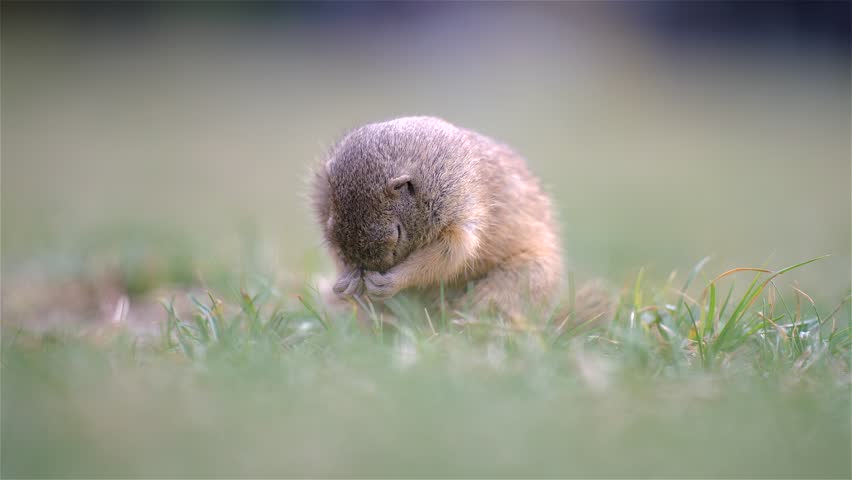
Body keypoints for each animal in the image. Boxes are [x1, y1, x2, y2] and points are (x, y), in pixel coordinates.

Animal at [311, 116, 609, 325]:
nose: (367, 272)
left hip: (524, 278)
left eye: (397, 233)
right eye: (331, 227)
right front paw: (347, 281)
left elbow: (448, 256)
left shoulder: (462, 211)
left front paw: (391, 281)